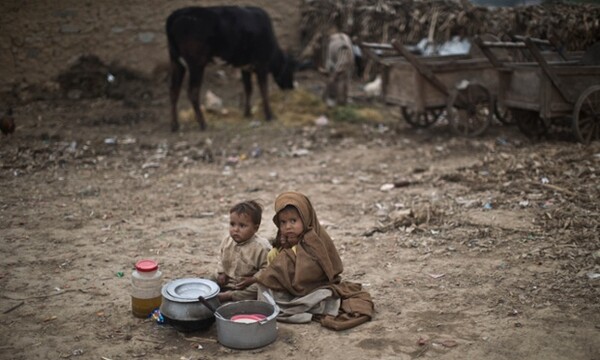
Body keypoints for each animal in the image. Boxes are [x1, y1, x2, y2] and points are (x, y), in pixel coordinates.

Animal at [165, 5, 296, 132]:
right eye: (291, 69)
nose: (291, 87)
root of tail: (177, 13)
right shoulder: (261, 64)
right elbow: (264, 90)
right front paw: (269, 115)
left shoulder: (245, 66)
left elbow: (248, 89)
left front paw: (247, 113)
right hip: (196, 64)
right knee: (193, 92)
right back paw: (203, 124)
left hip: (176, 62)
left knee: (173, 91)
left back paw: (174, 125)